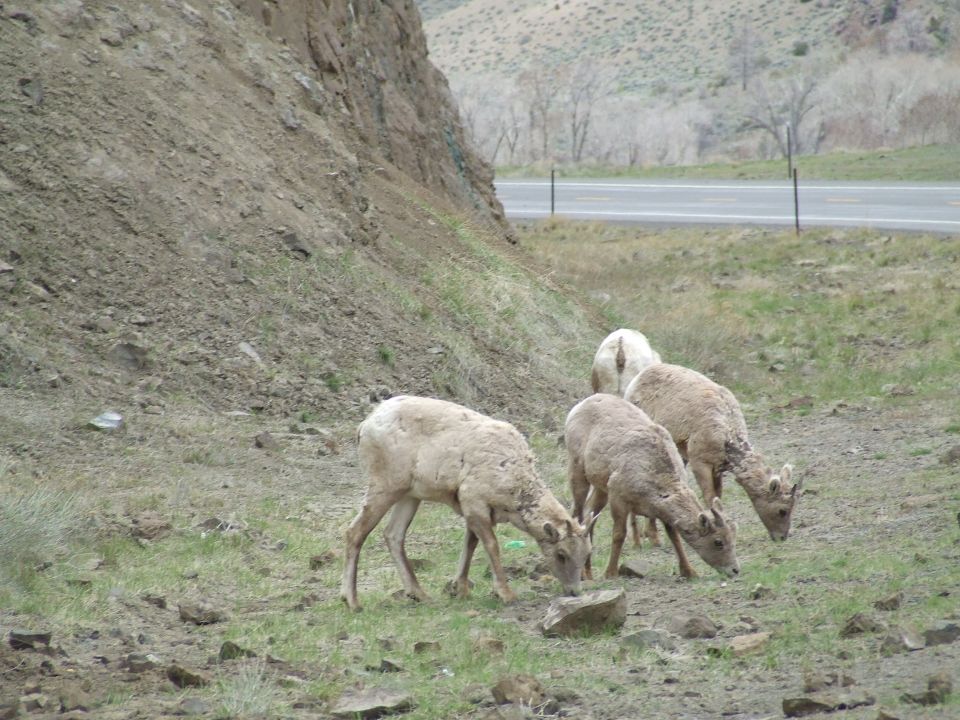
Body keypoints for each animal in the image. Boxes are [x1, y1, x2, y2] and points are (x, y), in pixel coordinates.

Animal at [341, 395, 596, 611]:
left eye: (587, 553)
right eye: (561, 554)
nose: (574, 591)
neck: (512, 481)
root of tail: (364, 426)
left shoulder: (474, 509)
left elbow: (470, 544)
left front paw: (460, 589)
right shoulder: (474, 502)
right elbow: (491, 545)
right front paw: (506, 594)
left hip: (409, 495)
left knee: (393, 534)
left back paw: (419, 594)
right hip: (385, 486)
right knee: (355, 531)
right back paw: (352, 601)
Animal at [565, 393, 740, 580]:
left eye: (733, 535)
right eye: (718, 542)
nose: (735, 570)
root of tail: (581, 405)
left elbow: (674, 536)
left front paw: (689, 572)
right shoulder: (618, 498)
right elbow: (619, 534)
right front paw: (610, 573)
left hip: (600, 487)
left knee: (589, 513)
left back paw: (588, 574)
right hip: (578, 471)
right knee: (577, 513)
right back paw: (583, 575)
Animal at [623, 363, 800, 543]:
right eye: (782, 511)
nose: (781, 537)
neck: (727, 436)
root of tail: (637, 378)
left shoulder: (717, 468)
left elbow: (717, 497)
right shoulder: (699, 462)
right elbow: (709, 497)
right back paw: (644, 537)